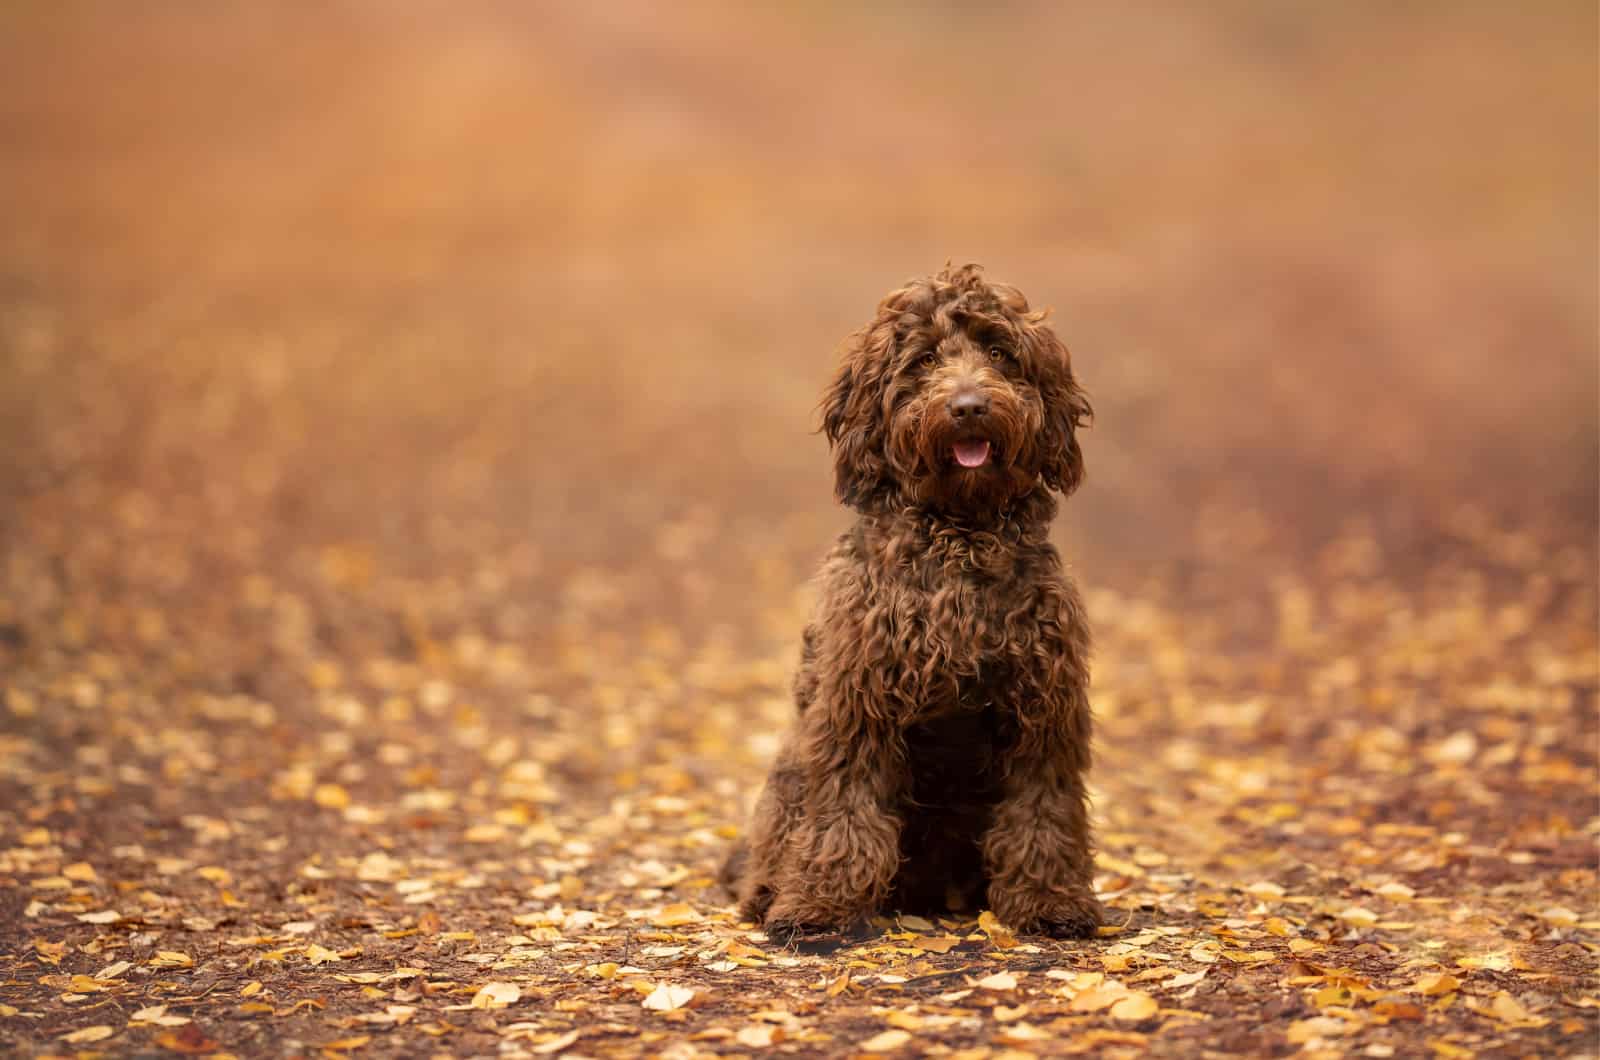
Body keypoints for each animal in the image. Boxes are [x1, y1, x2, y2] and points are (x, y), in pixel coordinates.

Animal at [723, 264, 1100, 941]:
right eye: (923, 360)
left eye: (999, 353)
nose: (969, 406)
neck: (961, 538)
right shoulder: (857, 704)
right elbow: (845, 810)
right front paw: (819, 907)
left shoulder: (1043, 709)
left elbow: (1042, 810)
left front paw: (1051, 902)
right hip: (790, 775)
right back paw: (769, 892)